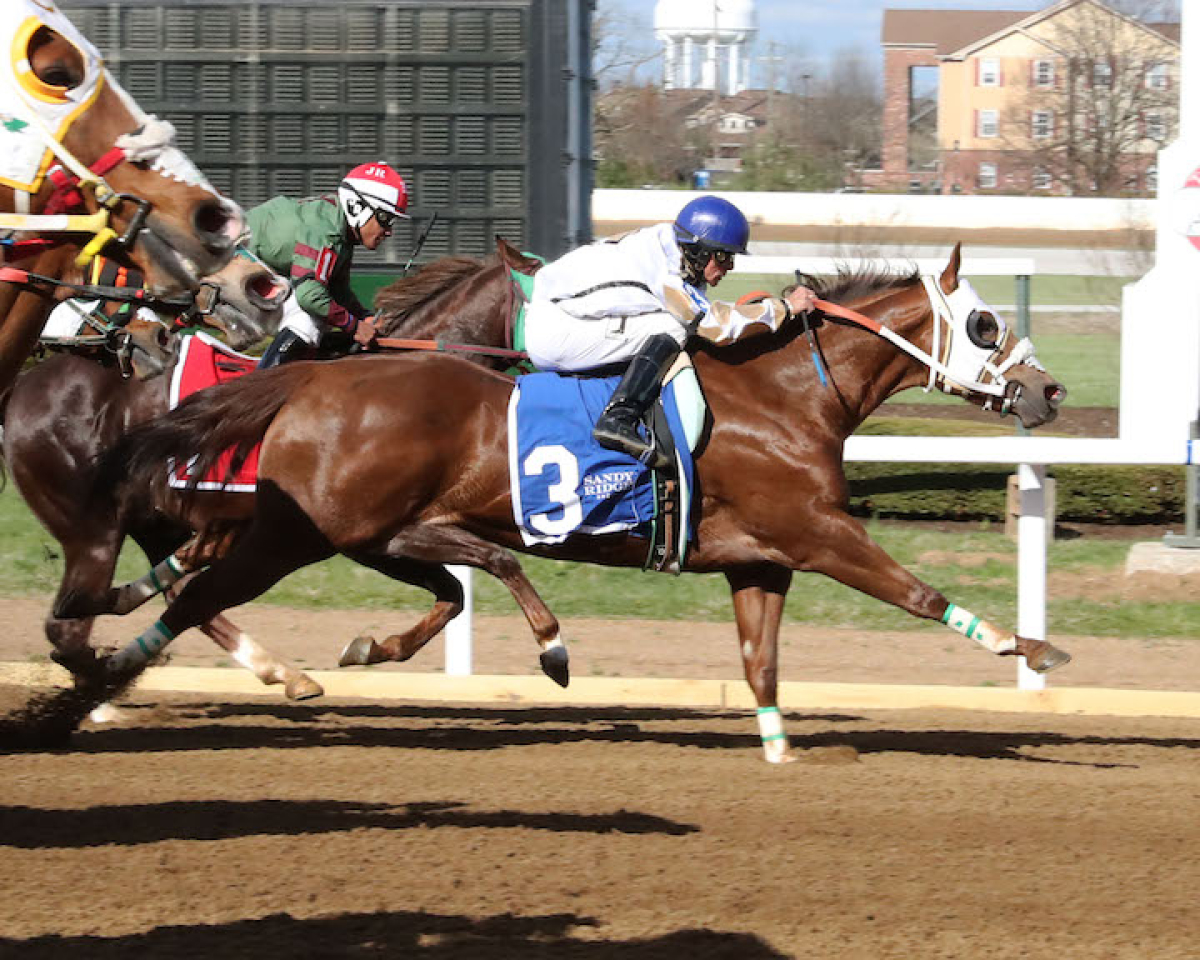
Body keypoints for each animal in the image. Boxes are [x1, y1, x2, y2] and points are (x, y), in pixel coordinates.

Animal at [96, 247, 1070, 763]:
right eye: (983, 324)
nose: (1049, 390)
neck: (786, 396)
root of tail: (309, 382)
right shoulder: (818, 532)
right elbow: (918, 594)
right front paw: (1030, 649)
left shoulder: (761, 560)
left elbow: (761, 662)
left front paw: (777, 748)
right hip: (300, 532)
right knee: (201, 590)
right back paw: (116, 674)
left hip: (362, 528)